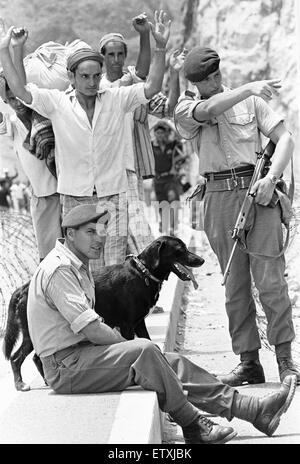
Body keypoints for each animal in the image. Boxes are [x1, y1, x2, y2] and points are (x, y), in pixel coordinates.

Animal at [2, 237, 204, 390]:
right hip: (30, 334)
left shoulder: (139, 323)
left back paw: (44, 381)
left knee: (35, 357)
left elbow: (148, 341)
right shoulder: (127, 326)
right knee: (16, 357)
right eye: (180, 249)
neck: (143, 273)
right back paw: (20, 384)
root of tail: (22, 288)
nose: (201, 260)